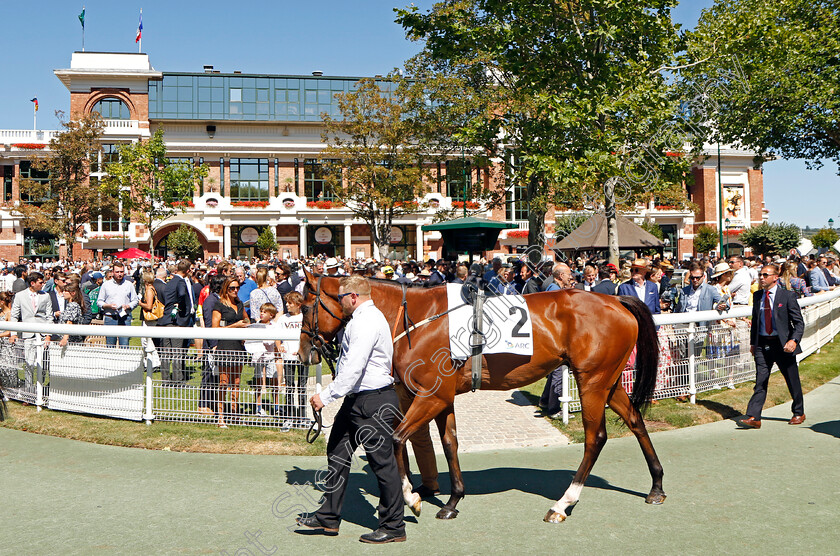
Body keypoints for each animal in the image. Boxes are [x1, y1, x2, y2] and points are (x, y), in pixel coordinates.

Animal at [298, 272, 668, 524]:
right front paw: (451, 501)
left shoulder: (431, 396)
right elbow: (450, 443)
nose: (303, 353)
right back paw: (656, 486)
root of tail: (615, 301)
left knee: (596, 437)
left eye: (302, 306)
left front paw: (411, 498)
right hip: (609, 382)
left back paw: (563, 504)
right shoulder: (443, 398)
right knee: (635, 421)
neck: (417, 318)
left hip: (591, 382)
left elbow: (398, 439)